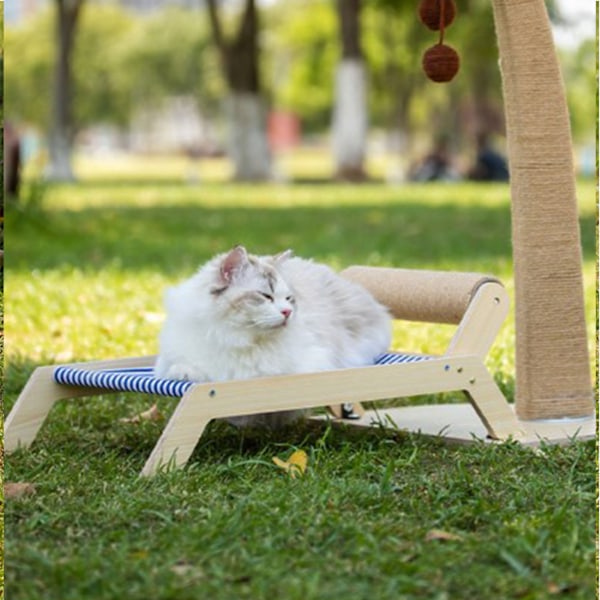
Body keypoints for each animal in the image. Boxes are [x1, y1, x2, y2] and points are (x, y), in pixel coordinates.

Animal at [152, 245, 392, 426]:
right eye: (265, 296)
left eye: (288, 298)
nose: (287, 312)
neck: (229, 335)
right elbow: (185, 370)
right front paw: (185, 374)